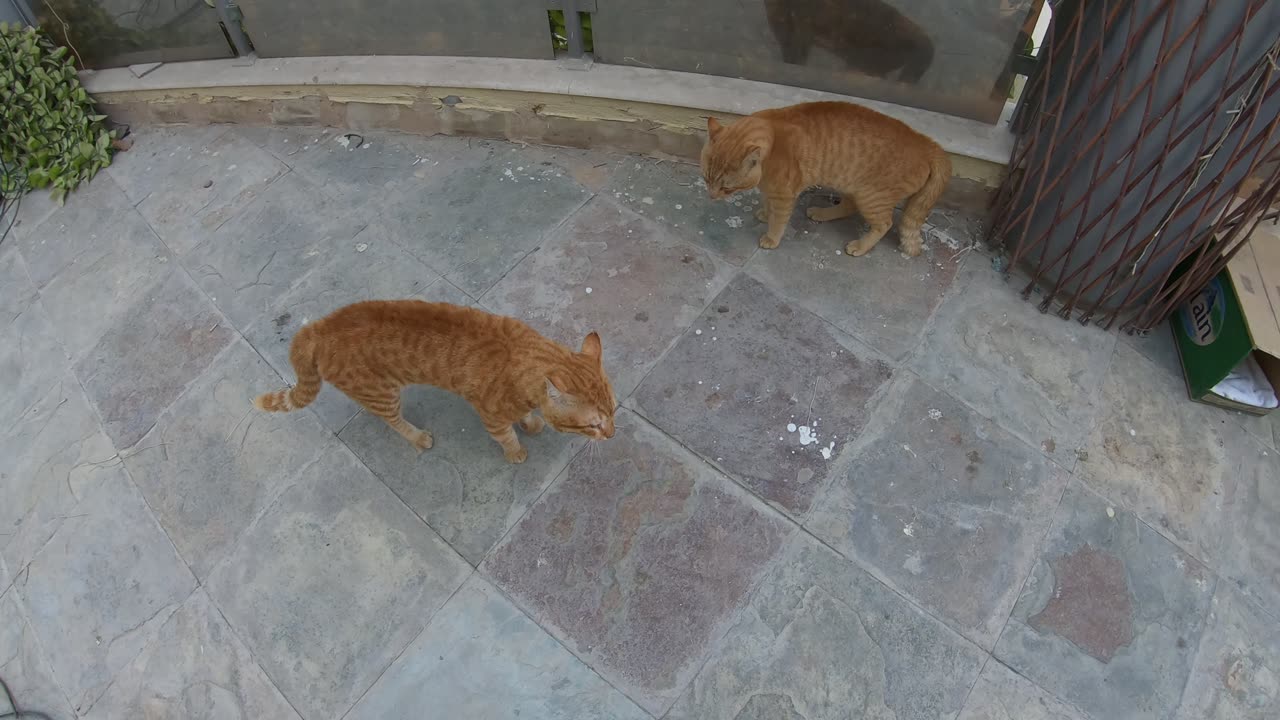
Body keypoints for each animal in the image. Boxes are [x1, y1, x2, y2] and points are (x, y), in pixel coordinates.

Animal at [701, 99, 952, 256]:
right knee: (849, 207)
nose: (711, 197)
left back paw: (860, 246)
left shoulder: (784, 195)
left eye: (726, 188)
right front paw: (765, 212)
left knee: (884, 224)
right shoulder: (769, 188)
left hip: (871, 198)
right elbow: (766, 201)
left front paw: (771, 236)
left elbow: (778, 220)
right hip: (851, 186)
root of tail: (928, 144)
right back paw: (821, 213)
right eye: (705, 179)